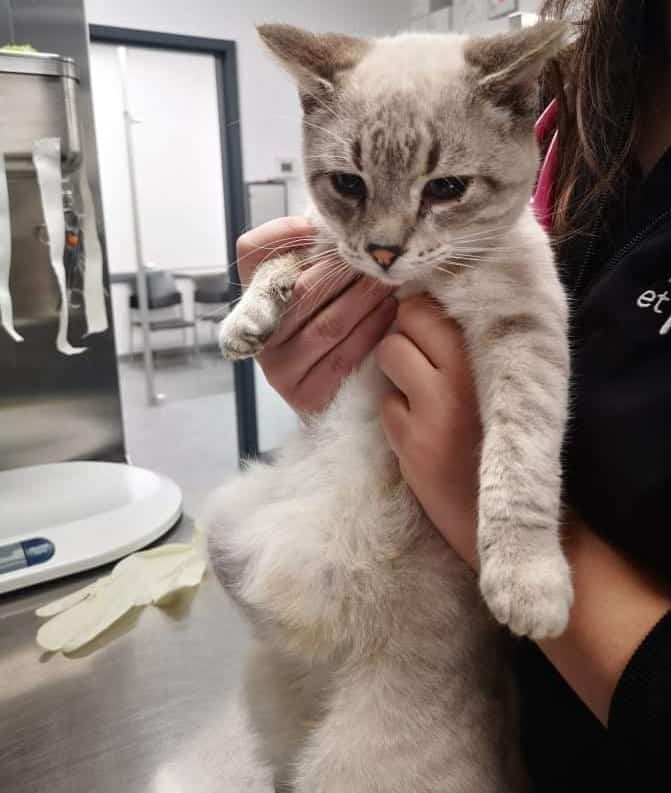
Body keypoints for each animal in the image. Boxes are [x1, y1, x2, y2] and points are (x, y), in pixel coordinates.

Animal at [203, 23, 572, 792]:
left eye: (446, 189)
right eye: (349, 183)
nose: (382, 251)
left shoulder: (523, 329)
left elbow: (519, 460)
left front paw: (526, 582)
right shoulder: (323, 239)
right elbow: (286, 256)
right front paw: (244, 322)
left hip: (355, 766)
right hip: (227, 523)